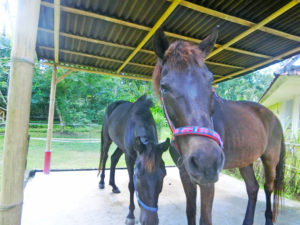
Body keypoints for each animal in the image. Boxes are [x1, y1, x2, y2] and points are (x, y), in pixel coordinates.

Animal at [98, 95, 169, 225]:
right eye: (138, 176)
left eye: (164, 174)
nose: (150, 221)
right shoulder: (129, 157)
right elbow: (131, 185)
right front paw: (130, 215)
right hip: (107, 139)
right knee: (105, 156)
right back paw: (101, 182)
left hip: (121, 146)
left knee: (114, 158)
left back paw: (113, 186)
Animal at [152, 27, 286, 225]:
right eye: (164, 87)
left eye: (210, 82)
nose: (206, 161)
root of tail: (273, 117)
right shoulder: (186, 174)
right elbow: (190, 212)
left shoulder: (207, 181)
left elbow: (205, 219)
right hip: (245, 160)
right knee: (253, 188)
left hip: (270, 159)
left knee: (268, 188)